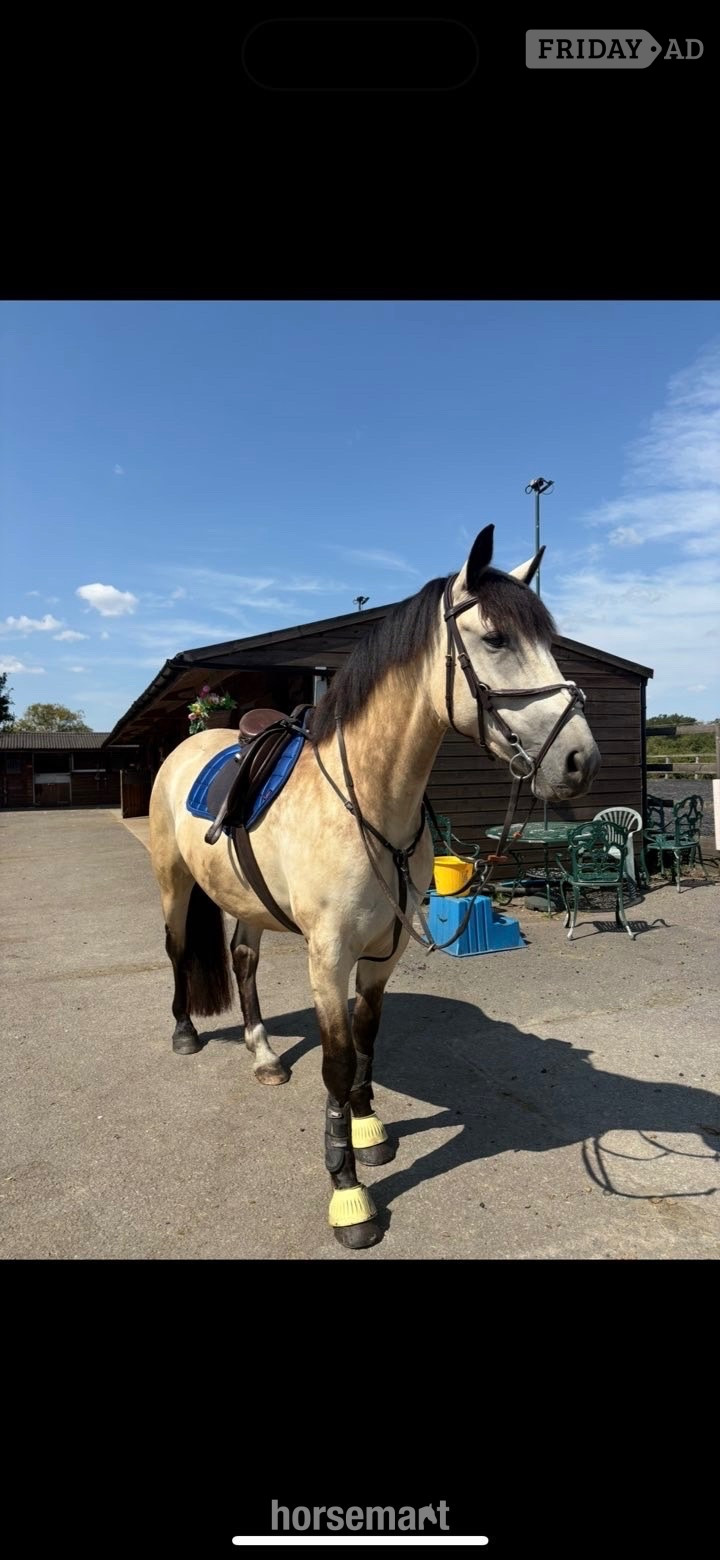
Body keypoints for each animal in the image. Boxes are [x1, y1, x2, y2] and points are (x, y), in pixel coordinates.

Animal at [149, 525, 600, 1249]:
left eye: (550, 641)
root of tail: (191, 742)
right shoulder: (329, 956)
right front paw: (347, 1190)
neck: (368, 800)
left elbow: (367, 1039)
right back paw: (187, 1033)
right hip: (174, 881)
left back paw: (263, 1054)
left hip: (248, 902)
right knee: (177, 949)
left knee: (242, 962)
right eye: (496, 639)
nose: (580, 759)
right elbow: (336, 1060)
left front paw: (367, 1130)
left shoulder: (383, 952)